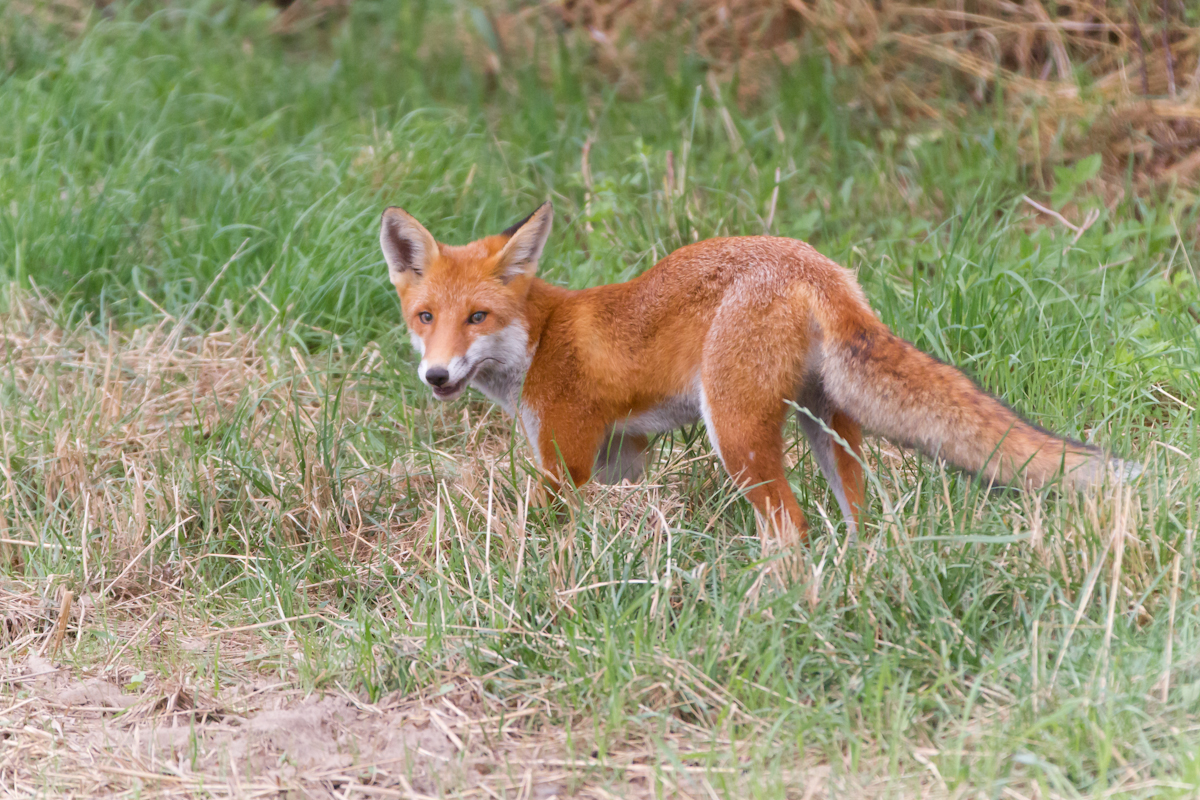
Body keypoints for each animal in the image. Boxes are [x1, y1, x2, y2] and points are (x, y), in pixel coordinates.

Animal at [381, 203, 1132, 546]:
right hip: (828, 424)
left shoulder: (564, 462)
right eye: (425, 317)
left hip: (736, 430)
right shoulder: (621, 458)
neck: (540, 340)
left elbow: (536, 531)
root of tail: (815, 265)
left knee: (789, 525)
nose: (437, 376)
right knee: (858, 509)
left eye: (477, 317)